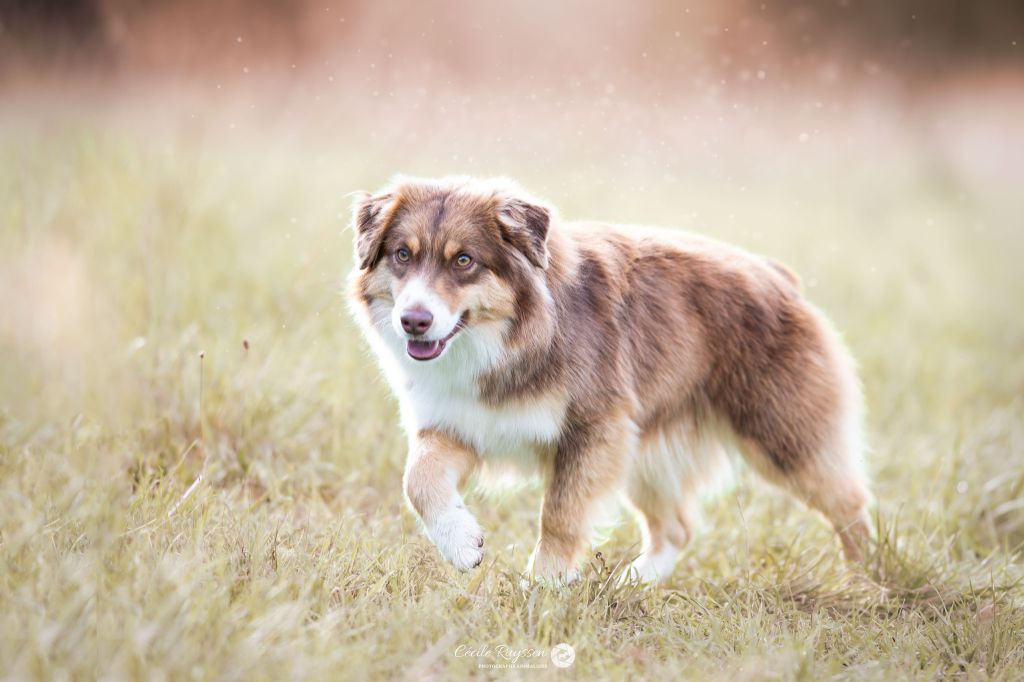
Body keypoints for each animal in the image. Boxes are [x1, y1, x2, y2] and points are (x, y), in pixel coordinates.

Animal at [350, 174, 872, 577]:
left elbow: (560, 514)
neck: (507, 339)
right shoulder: (456, 425)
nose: (413, 321)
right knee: (677, 529)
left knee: (850, 505)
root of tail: (778, 275)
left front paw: (543, 589)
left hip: (784, 438)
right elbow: (418, 482)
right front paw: (462, 545)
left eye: (464, 261)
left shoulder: (595, 428)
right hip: (646, 449)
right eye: (402, 254)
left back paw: (863, 584)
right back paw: (631, 585)